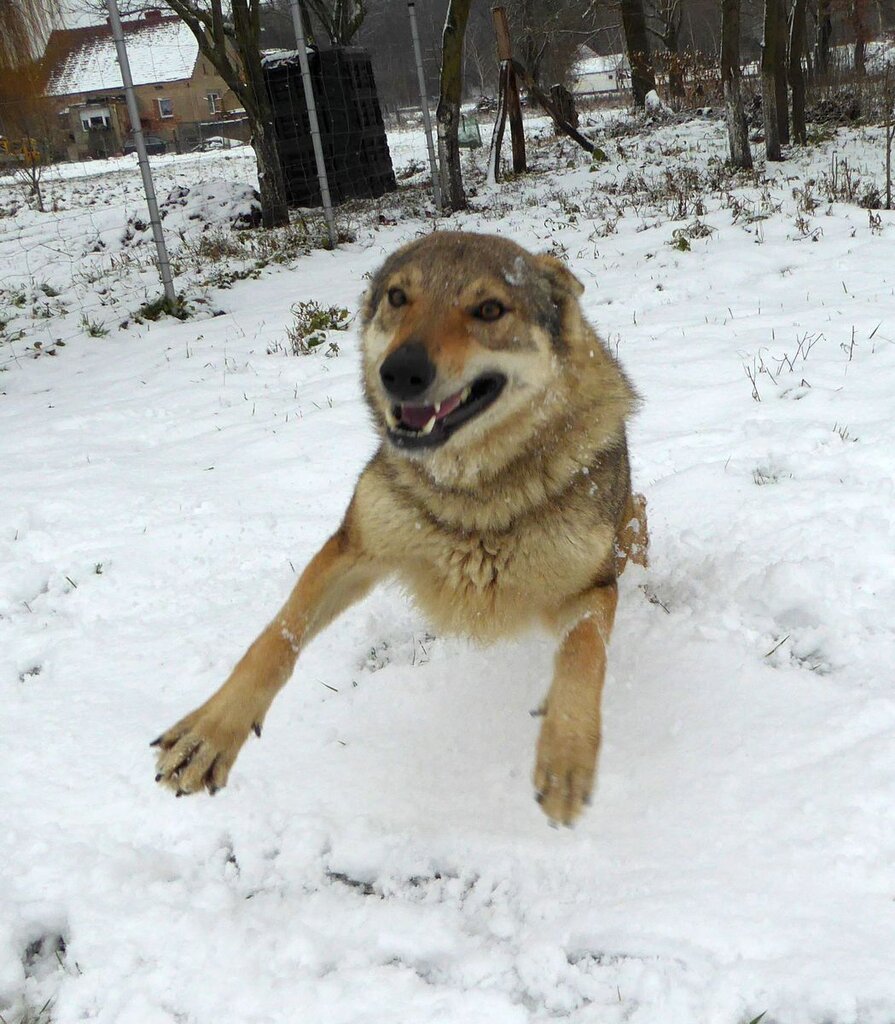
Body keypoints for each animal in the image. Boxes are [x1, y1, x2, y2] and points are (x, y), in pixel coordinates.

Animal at [152, 231, 648, 825]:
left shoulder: (591, 588)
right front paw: (208, 735)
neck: (473, 499)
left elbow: (583, 657)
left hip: (630, 529)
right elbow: (276, 639)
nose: (401, 371)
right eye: (397, 297)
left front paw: (567, 755)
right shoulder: (355, 548)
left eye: (489, 309)